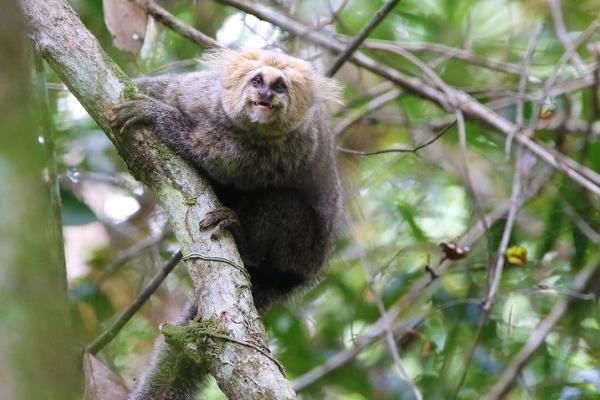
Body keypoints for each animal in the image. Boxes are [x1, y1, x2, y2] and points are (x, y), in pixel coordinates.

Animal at [112, 50, 342, 400]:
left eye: (280, 87)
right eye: (258, 81)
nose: (266, 95)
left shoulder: (285, 146)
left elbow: (216, 159)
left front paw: (159, 118)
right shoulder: (199, 94)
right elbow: (166, 89)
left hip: (300, 254)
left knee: (280, 203)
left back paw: (244, 242)